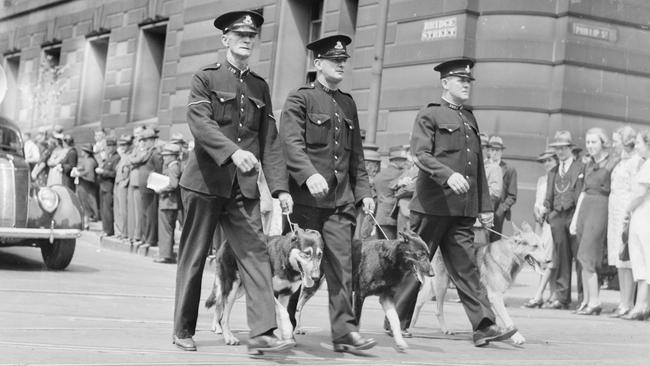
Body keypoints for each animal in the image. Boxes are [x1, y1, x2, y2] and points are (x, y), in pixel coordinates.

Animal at [292, 232, 432, 352]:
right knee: (298, 303)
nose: (432, 274)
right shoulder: (360, 295)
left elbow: (395, 320)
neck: (388, 259)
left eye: (428, 255)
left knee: (299, 304)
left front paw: (400, 342)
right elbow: (357, 320)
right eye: (420, 255)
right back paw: (296, 328)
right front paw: (356, 340)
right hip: (312, 283)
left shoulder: (386, 298)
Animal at [412, 222, 544, 344]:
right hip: (441, 285)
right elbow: (507, 319)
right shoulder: (495, 296)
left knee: (420, 302)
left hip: (434, 287)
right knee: (434, 309)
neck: (510, 255)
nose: (547, 260)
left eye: (542, 246)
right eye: (535, 246)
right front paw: (516, 337)